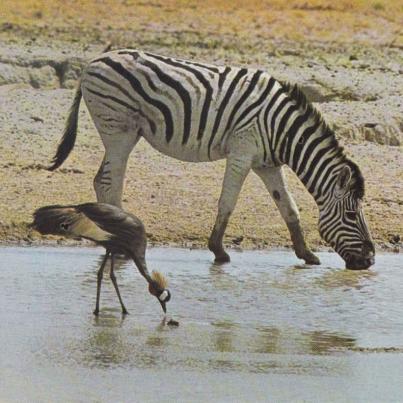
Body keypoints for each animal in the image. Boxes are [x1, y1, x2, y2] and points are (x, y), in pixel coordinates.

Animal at [47, 49, 376, 272]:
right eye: (351, 215)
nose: (370, 260)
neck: (281, 128)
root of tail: (94, 61)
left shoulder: (267, 165)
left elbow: (289, 208)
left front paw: (306, 255)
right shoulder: (242, 152)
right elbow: (227, 202)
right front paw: (218, 251)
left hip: (120, 131)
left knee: (102, 179)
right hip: (119, 130)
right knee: (108, 180)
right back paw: (122, 239)